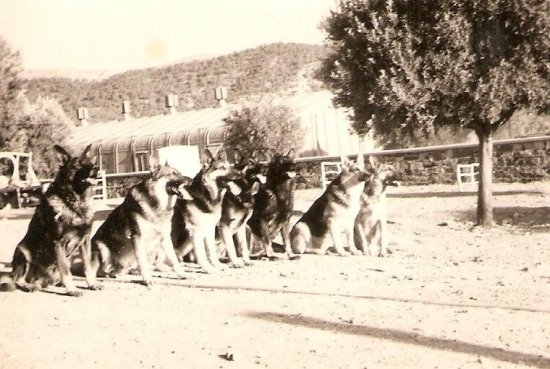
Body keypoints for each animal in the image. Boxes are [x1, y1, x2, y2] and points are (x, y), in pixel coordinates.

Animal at [0, 144, 101, 296]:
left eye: (90, 162)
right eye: (78, 164)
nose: (96, 167)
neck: (74, 201)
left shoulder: (85, 241)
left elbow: (87, 266)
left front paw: (92, 284)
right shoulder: (58, 243)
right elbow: (65, 270)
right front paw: (72, 289)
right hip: (23, 252)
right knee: (18, 280)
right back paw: (30, 286)